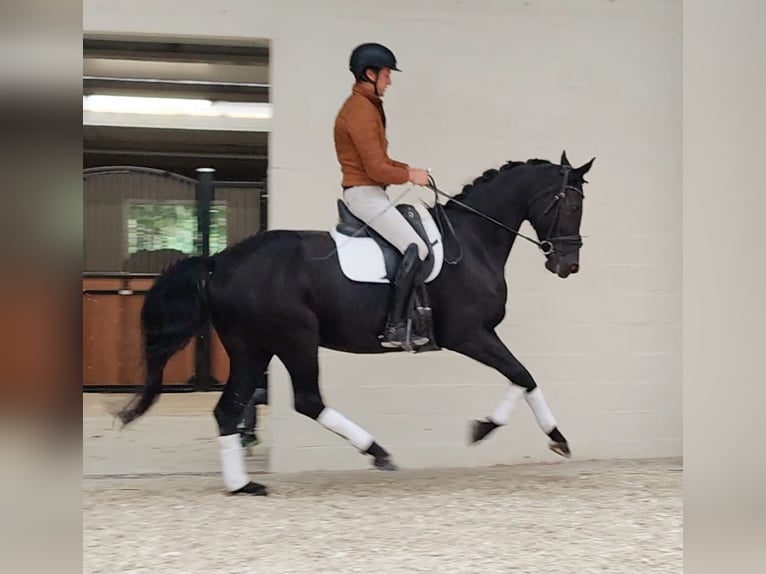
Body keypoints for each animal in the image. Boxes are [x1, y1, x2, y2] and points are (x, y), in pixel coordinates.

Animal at [120, 152, 596, 496]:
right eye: (572, 203)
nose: (568, 264)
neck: (473, 242)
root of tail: (219, 262)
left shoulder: (476, 336)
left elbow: (522, 376)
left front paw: (529, 433)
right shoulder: (470, 334)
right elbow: (523, 374)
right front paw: (523, 433)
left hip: (252, 347)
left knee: (229, 410)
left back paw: (243, 486)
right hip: (293, 339)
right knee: (307, 400)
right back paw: (378, 452)